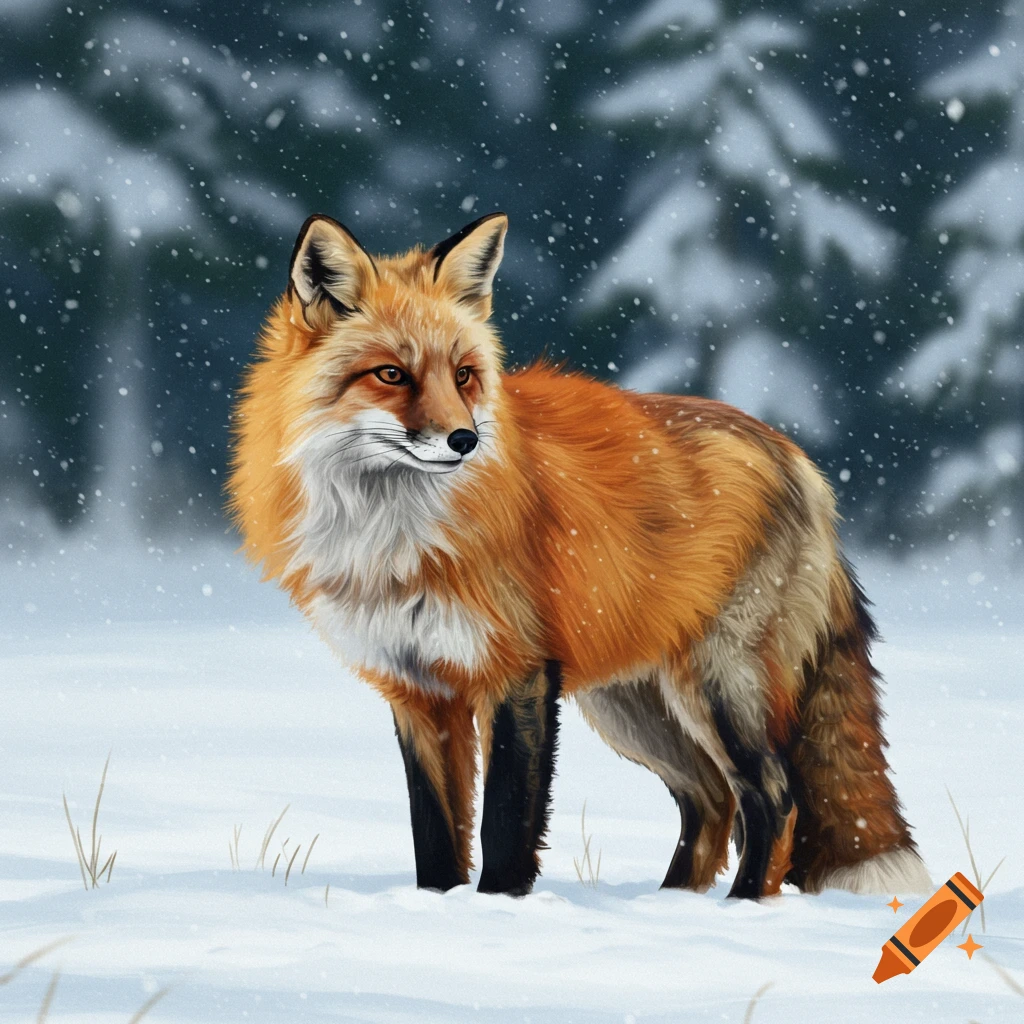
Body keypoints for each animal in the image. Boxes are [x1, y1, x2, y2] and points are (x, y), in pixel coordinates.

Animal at [227, 211, 931, 899]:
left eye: (463, 375)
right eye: (392, 374)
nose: (465, 440)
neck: (394, 538)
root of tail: (797, 458)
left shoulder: (520, 671)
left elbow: (505, 824)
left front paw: (498, 910)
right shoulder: (419, 689)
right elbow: (436, 835)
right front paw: (439, 912)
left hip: (720, 687)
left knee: (773, 798)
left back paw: (740, 909)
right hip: (631, 706)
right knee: (710, 800)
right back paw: (672, 907)